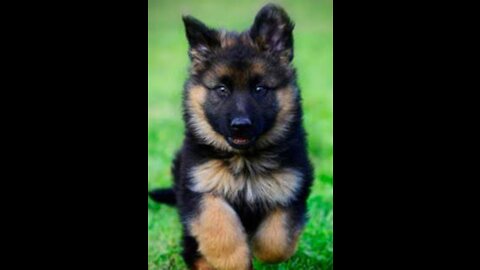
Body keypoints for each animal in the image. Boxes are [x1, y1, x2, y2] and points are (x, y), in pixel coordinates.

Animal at [151, 4, 316, 270]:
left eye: (259, 89)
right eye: (222, 89)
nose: (241, 126)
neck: (245, 161)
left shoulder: (291, 187)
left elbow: (277, 241)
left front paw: (259, 250)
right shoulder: (201, 187)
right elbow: (219, 227)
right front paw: (234, 260)